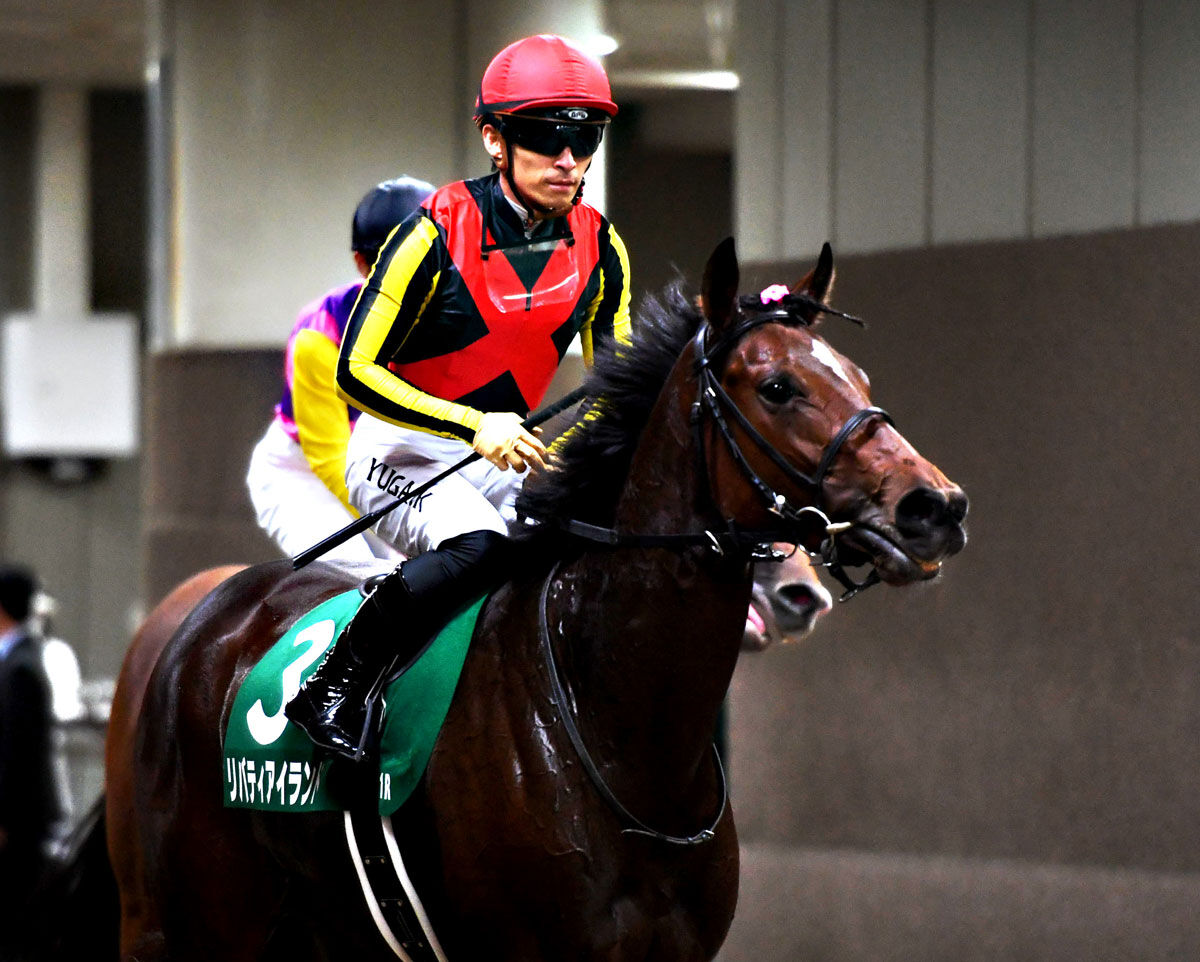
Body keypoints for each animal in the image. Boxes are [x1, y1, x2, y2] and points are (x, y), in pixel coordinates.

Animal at [102, 238, 967, 962]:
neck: (616, 721)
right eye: (779, 387)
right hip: (180, 926)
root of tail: (200, 619)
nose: (933, 506)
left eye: (858, 378)